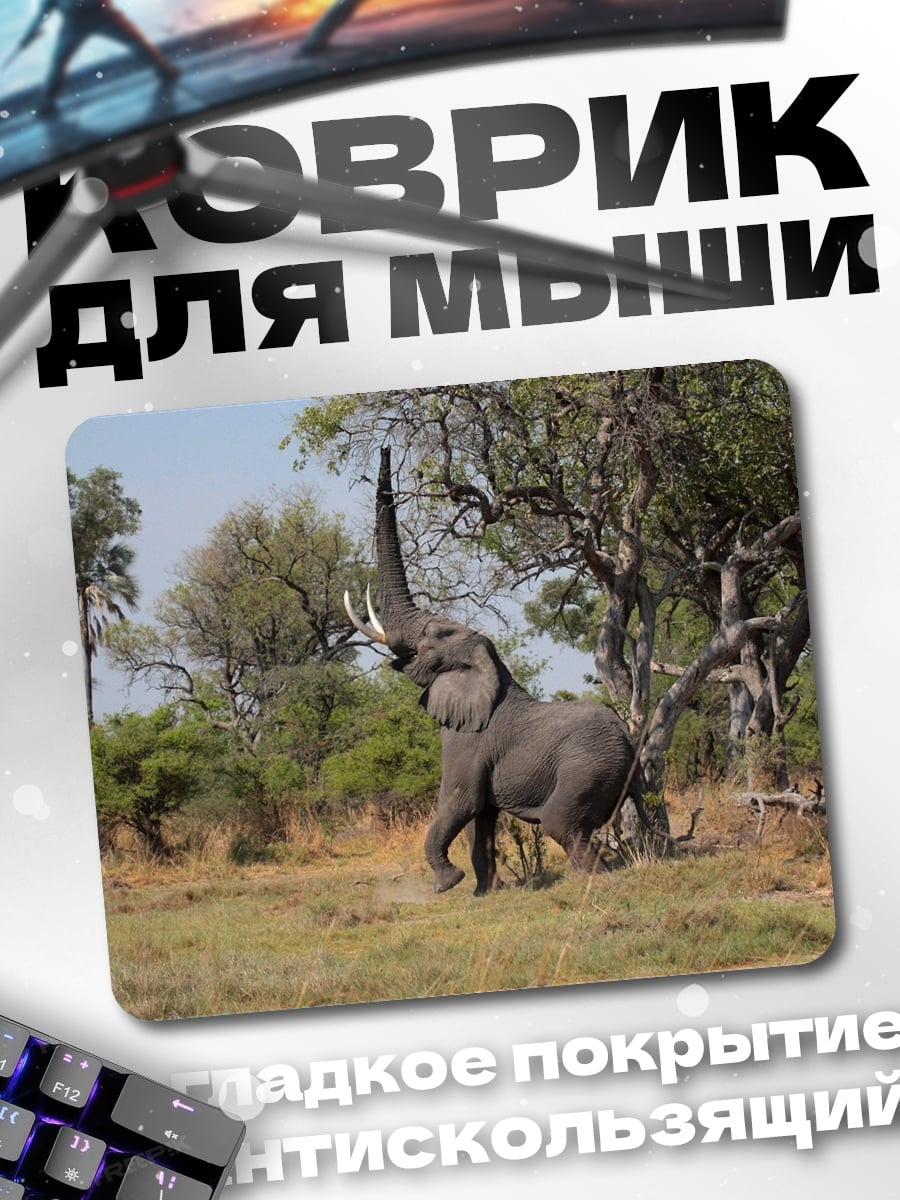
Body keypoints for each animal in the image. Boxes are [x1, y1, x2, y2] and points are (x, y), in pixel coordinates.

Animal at [344, 447, 647, 896]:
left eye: (430, 639)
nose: (385, 449)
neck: (486, 665)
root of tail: (629, 741)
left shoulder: (467, 741)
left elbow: (460, 802)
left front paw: (447, 884)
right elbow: (480, 820)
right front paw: (482, 893)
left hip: (587, 768)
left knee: (562, 824)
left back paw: (590, 880)